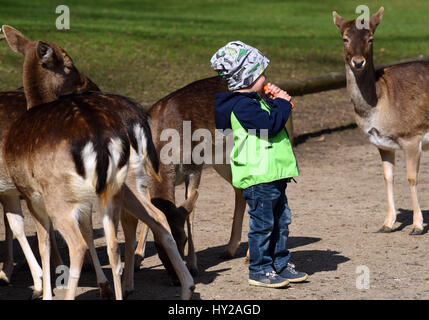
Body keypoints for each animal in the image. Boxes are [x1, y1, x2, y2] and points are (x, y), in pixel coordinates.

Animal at [1, 25, 196, 300]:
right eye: (69, 64)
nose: (88, 83)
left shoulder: (31, 195)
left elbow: (44, 243)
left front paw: (43, 291)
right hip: (125, 185)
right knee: (154, 218)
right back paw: (185, 286)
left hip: (60, 196)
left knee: (78, 244)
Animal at [332, 6, 428, 234]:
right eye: (344, 38)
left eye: (371, 38)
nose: (358, 62)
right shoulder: (381, 142)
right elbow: (387, 177)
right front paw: (387, 223)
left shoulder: (412, 136)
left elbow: (411, 178)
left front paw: (417, 226)